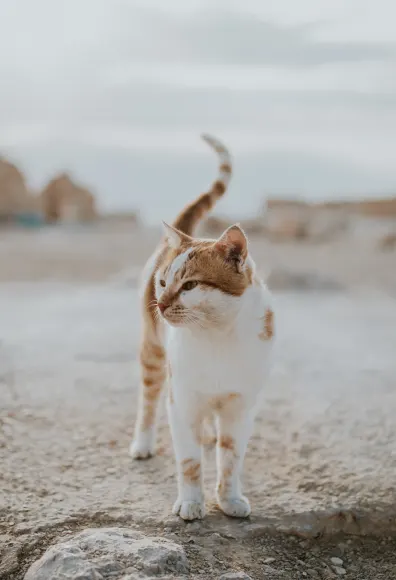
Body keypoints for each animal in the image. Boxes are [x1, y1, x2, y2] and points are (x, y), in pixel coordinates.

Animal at [131, 136, 274, 520]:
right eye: (163, 283)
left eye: (191, 285)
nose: (162, 303)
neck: (217, 338)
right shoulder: (181, 402)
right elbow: (190, 461)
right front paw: (192, 503)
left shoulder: (241, 408)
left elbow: (230, 458)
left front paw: (230, 499)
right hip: (153, 355)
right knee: (148, 401)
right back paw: (142, 443)